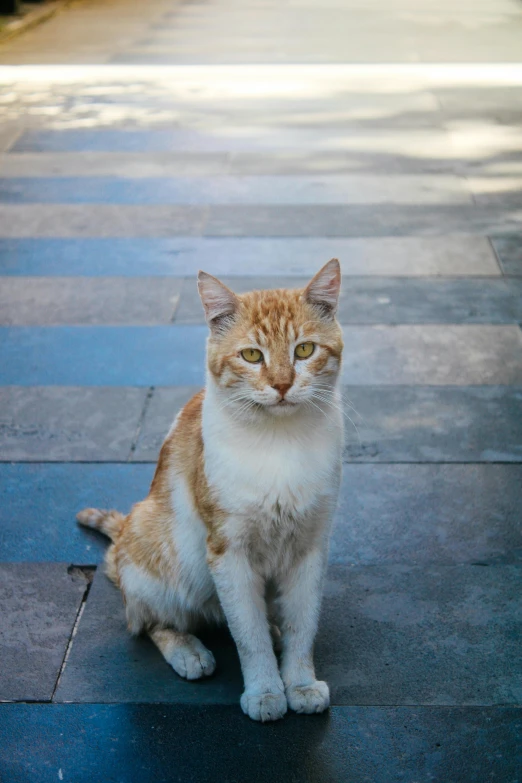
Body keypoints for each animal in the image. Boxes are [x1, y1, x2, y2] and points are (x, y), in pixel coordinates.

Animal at [77, 260, 344, 724]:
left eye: (305, 351)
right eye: (252, 355)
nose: (281, 385)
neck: (281, 444)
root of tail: (125, 534)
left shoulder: (312, 547)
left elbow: (302, 624)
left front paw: (300, 683)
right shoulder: (227, 552)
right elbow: (248, 635)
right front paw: (265, 690)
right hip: (160, 559)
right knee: (150, 622)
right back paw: (189, 651)